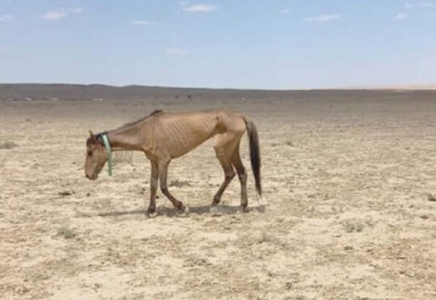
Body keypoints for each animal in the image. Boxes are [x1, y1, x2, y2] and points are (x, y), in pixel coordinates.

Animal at [85, 109, 262, 214]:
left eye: (89, 152)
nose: (88, 175)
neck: (146, 130)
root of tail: (241, 117)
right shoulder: (154, 162)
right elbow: (153, 184)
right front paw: (151, 209)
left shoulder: (164, 161)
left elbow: (163, 186)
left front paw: (182, 206)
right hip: (232, 149)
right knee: (242, 173)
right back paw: (242, 205)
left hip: (221, 150)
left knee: (230, 173)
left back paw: (215, 202)